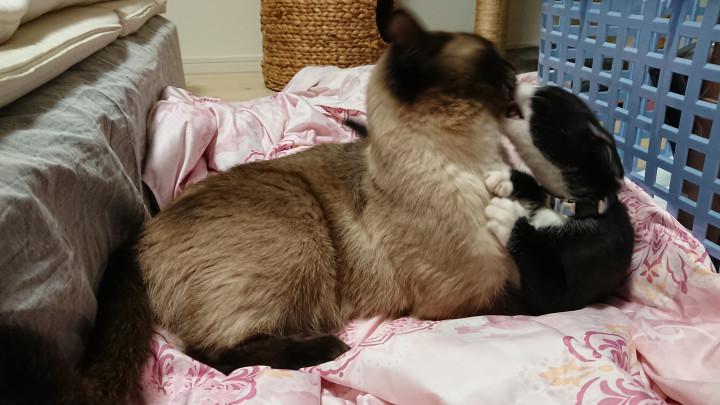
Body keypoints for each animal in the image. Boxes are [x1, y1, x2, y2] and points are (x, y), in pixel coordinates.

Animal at [0, 2, 521, 404]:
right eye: (494, 69)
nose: (518, 82)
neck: (466, 165)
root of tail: (140, 233)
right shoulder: (463, 295)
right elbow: (522, 299)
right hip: (298, 236)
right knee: (208, 354)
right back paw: (325, 350)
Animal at [483, 83, 635, 315]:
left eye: (542, 102)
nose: (515, 82)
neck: (568, 207)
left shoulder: (564, 297)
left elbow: (544, 283)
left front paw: (508, 218)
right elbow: (536, 186)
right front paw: (506, 177)